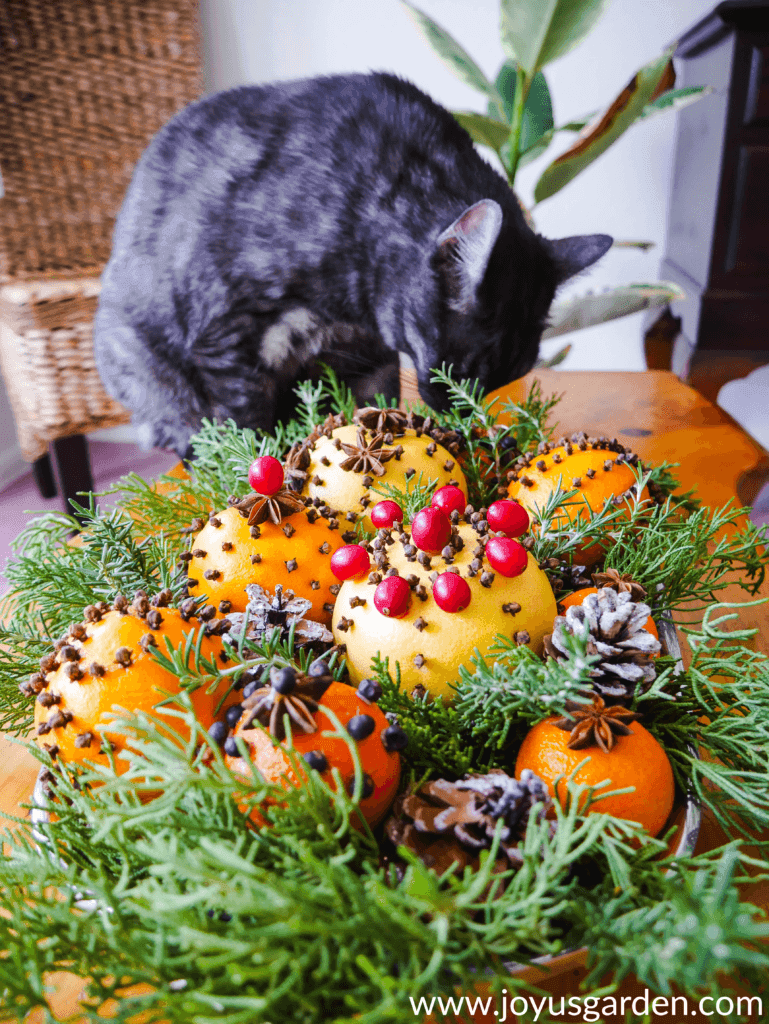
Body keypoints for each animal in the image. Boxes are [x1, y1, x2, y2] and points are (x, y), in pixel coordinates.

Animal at [94, 72, 614, 456]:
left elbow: (371, 410)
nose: (463, 413)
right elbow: (250, 430)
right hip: (144, 363)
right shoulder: (226, 339)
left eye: (507, 378)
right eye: (464, 367)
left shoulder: (371, 358)